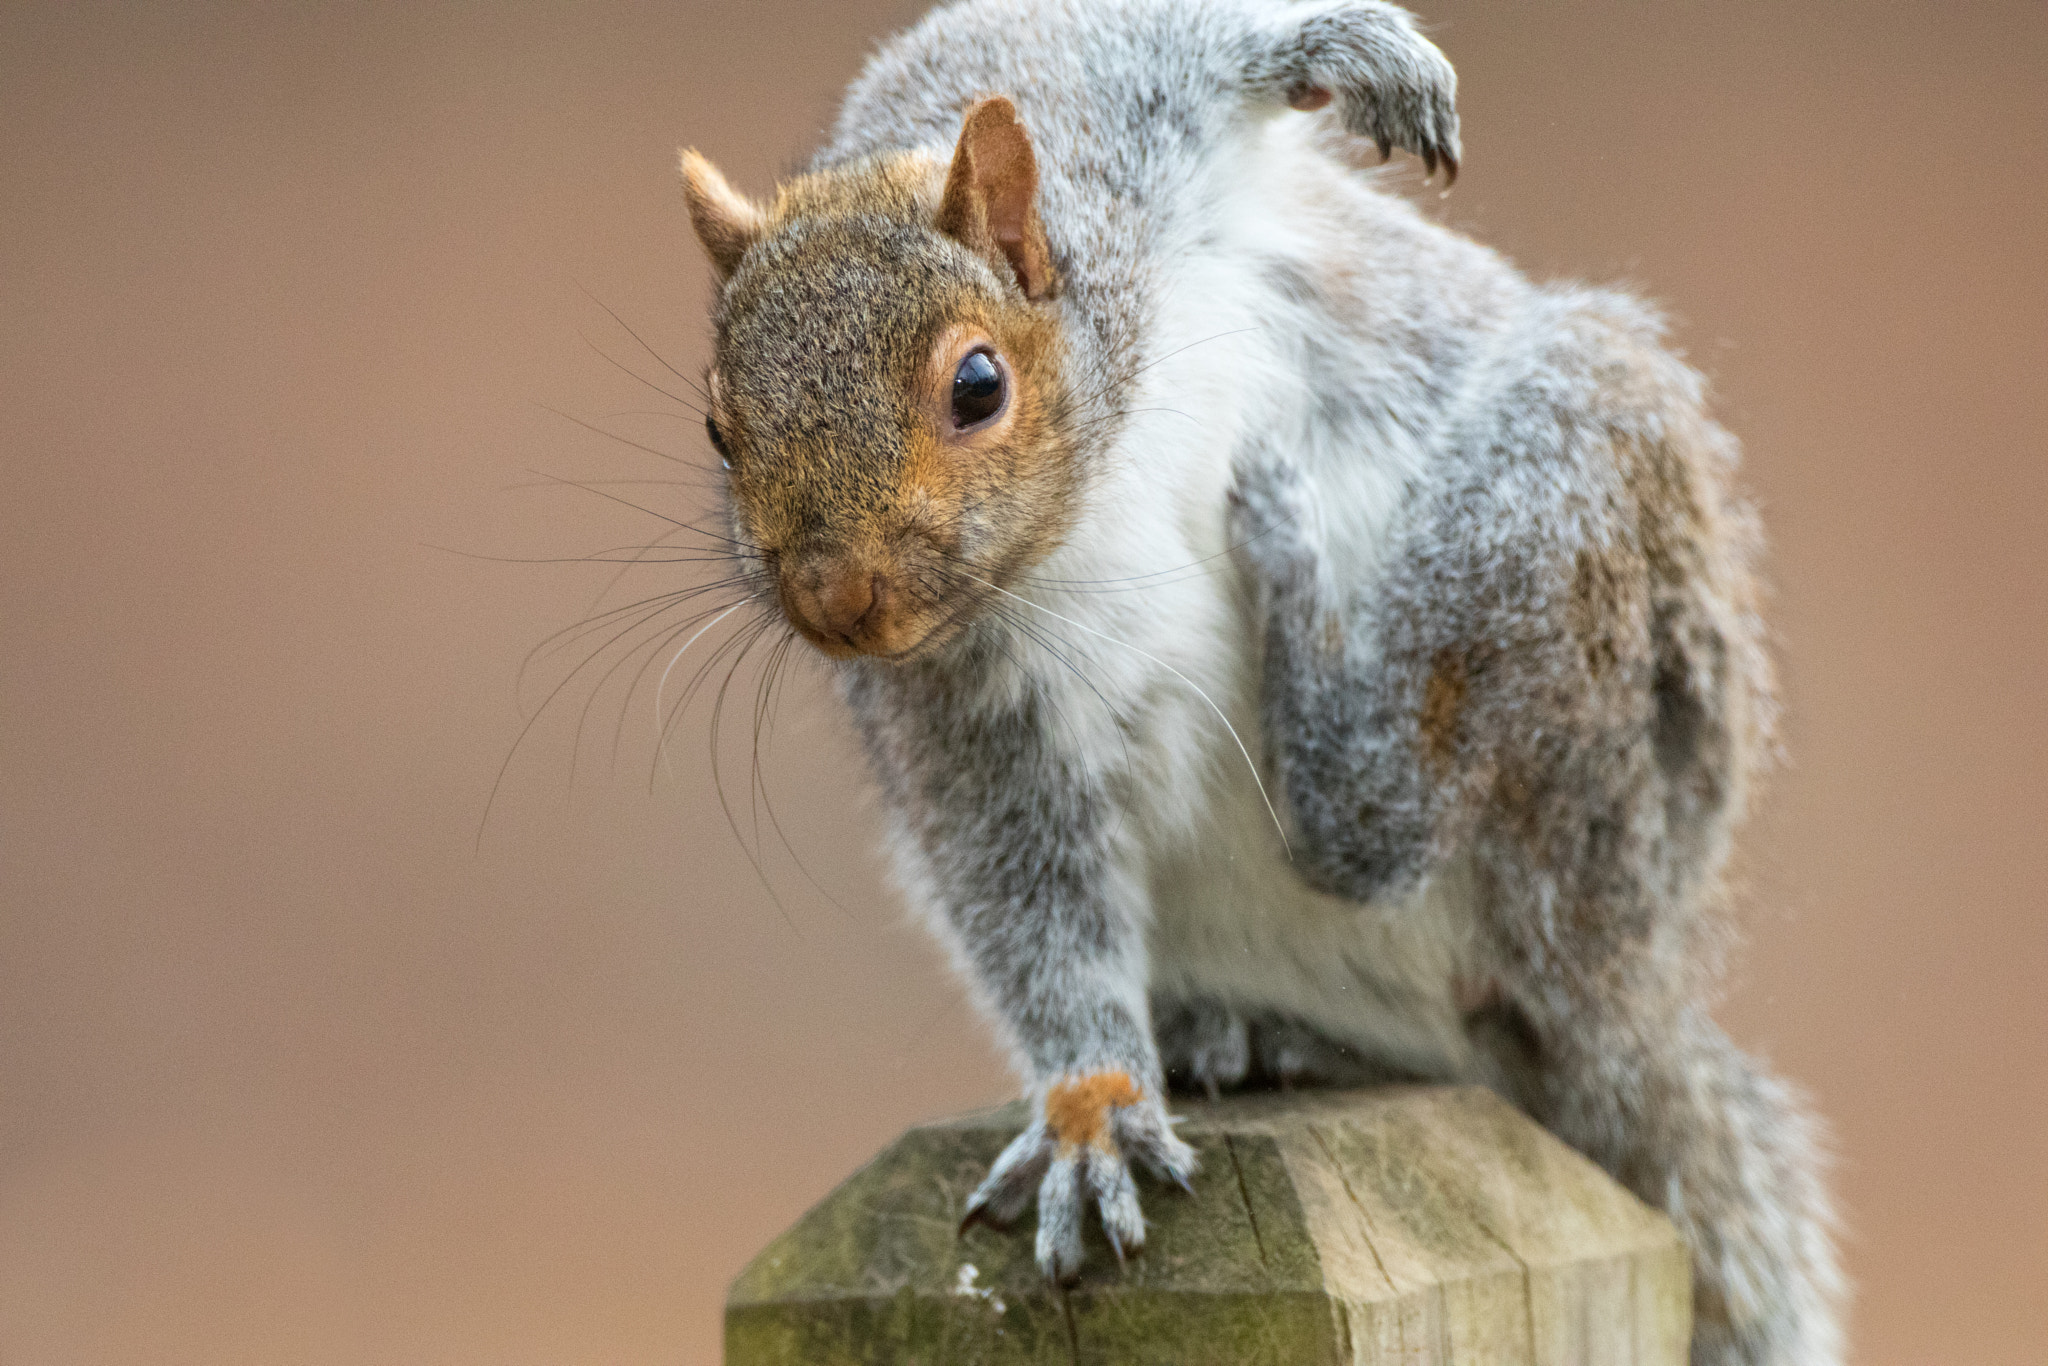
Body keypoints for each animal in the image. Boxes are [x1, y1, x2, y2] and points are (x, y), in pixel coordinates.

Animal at [671, 5, 1843, 1359]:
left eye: (976, 384)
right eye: (718, 429)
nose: (834, 603)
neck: (1091, 482)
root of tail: (1631, 1006)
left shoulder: (1091, 98)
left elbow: (1174, 35)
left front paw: (1358, 55)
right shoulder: (962, 712)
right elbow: (1028, 896)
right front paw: (1091, 1109)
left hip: (1570, 543)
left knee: (1387, 831)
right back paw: (1231, 1033)